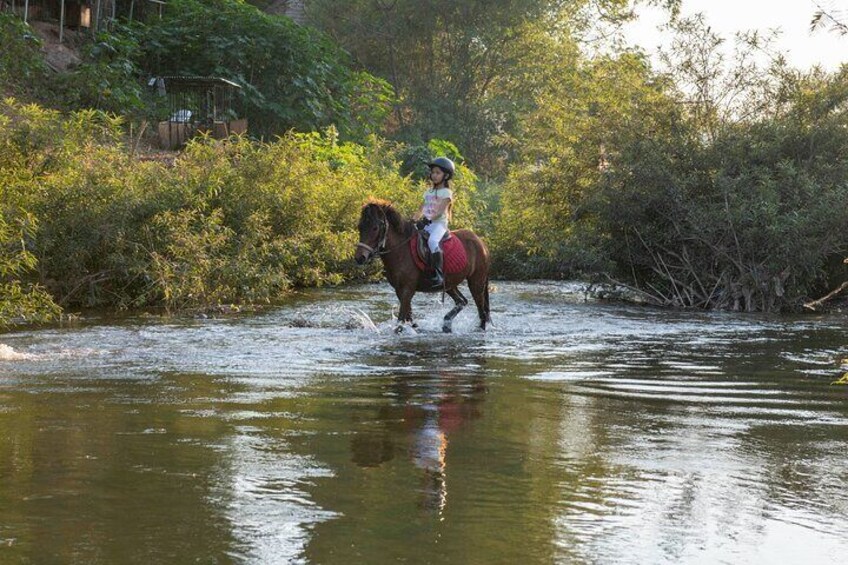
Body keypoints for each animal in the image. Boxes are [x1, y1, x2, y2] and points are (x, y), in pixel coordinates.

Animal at [356, 198, 490, 330]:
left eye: (375, 228)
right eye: (360, 227)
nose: (360, 258)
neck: (401, 250)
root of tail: (480, 241)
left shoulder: (407, 290)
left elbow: (400, 320)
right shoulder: (399, 290)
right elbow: (408, 317)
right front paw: (415, 328)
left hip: (476, 282)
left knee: (481, 311)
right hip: (450, 284)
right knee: (462, 301)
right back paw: (446, 323)